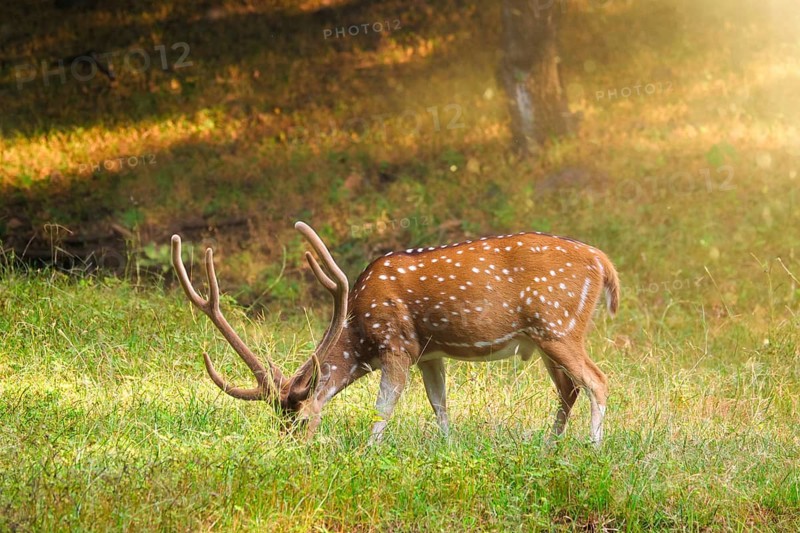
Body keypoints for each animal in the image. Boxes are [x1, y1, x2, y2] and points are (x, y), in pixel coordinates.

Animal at [171, 221, 619, 445]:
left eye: (299, 423)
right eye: (276, 423)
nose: (286, 449)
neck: (358, 331)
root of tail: (603, 261)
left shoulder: (397, 343)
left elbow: (383, 406)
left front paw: (368, 451)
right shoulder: (430, 353)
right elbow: (440, 405)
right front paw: (448, 448)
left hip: (558, 326)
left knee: (597, 380)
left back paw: (592, 449)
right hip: (544, 339)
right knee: (569, 388)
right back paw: (547, 448)